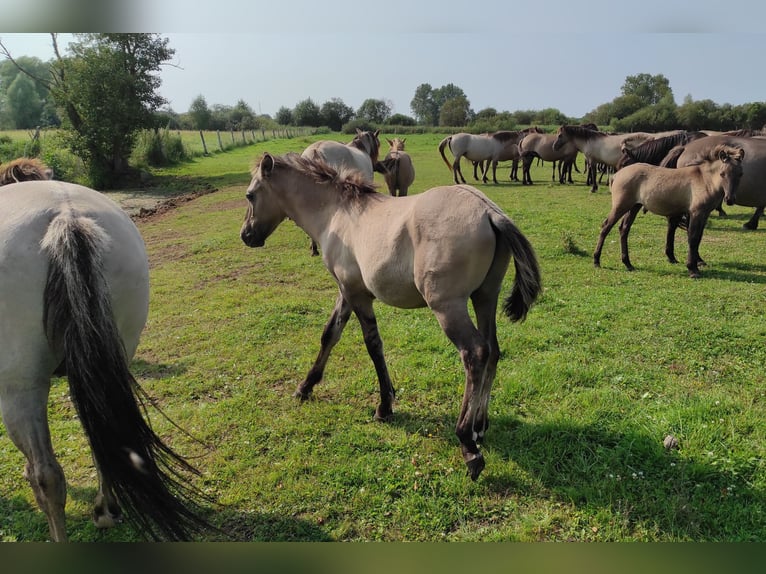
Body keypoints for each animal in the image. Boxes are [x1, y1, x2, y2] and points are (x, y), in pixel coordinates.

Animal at [243, 152, 544, 482]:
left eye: (250, 195)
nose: (246, 235)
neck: (336, 213)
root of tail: (489, 211)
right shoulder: (347, 290)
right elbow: (329, 334)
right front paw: (305, 386)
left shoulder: (358, 296)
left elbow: (373, 345)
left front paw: (384, 406)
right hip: (485, 297)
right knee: (493, 351)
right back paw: (480, 426)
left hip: (448, 306)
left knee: (475, 353)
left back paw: (468, 442)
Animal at [592, 144, 744, 280]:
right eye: (722, 174)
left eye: (740, 174)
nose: (729, 199)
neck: (704, 180)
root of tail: (616, 175)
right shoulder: (696, 213)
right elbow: (693, 238)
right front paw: (692, 269)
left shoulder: (704, 215)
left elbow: (698, 238)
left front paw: (695, 264)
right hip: (621, 206)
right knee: (606, 227)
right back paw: (596, 261)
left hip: (634, 207)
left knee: (624, 229)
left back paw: (628, 264)